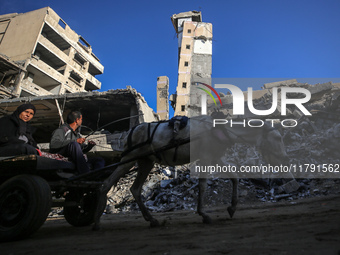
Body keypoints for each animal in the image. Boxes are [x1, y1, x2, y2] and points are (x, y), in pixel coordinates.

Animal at [92, 115, 286, 229]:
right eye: (277, 138)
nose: (283, 159)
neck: (220, 130)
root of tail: (131, 131)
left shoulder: (216, 156)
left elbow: (235, 178)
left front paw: (232, 208)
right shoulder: (207, 157)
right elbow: (202, 185)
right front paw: (204, 214)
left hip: (146, 161)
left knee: (135, 189)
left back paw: (152, 220)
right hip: (129, 159)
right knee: (106, 184)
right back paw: (96, 221)